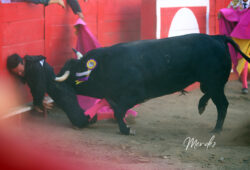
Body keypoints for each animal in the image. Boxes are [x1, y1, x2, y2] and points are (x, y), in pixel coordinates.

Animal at [56, 33, 250, 135]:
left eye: (71, 72)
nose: (55, 79)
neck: (105, 65)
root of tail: (217, 37)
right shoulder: (114, 95)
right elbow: (115, 109)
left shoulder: (136, 94)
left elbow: (119, 111)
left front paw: (127, 130)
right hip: (211, 83)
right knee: (217, 100)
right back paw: (210, 118)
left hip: (213, 81)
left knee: (219, 101)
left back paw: (211, 121)